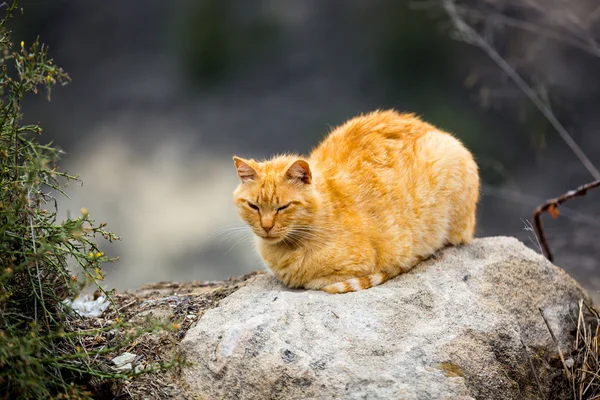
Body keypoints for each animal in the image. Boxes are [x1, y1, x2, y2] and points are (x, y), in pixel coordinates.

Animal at [232, 109, 480, 294]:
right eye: (253, 206)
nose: (266, 226)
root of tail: (430, 127)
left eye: (283, 207)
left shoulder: (358, 265)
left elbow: (317, 280)